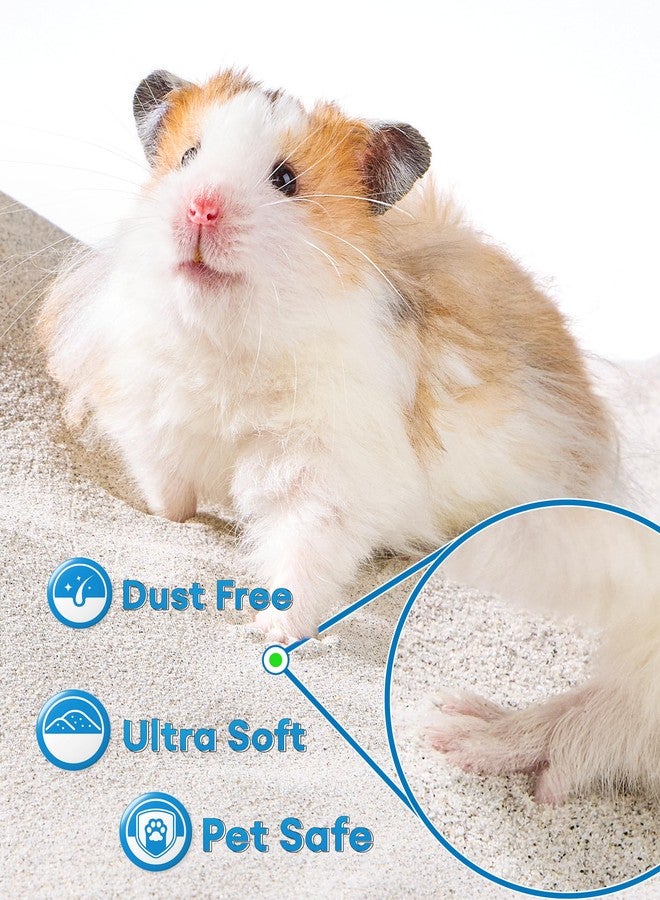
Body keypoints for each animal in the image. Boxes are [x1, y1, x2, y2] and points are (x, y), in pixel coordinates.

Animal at [39, 67, 620, 648]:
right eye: (187, 157)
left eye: (286, 179)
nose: (201, 208)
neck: (228, 340)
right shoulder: (151, 422)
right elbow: (168, 493)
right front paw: (167, 520)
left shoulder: (324, 477)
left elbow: (302, 557)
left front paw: (269, 632)